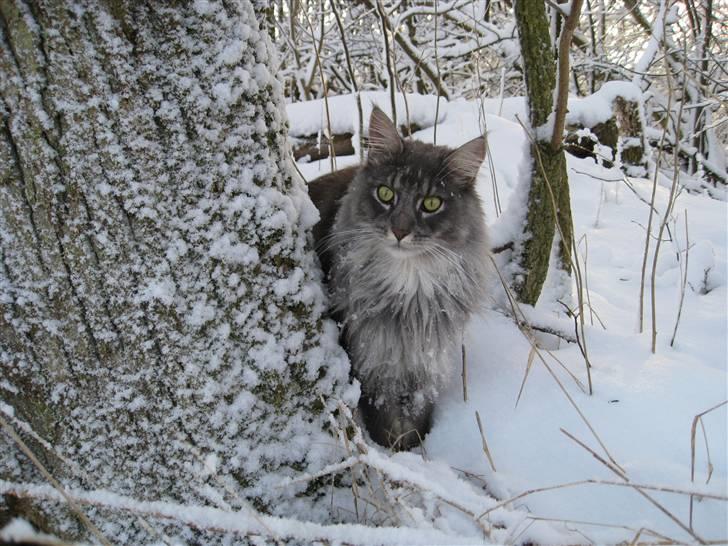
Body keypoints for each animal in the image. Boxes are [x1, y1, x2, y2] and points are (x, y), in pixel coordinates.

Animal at [308, 105, 490, 446]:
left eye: (431, 204)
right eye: (385, 193)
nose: (400, 231)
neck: (409, 287)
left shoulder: (424, 361)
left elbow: (417, 419)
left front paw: (415, 448)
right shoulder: (371, 360)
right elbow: (383, 422)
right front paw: (395, 450)